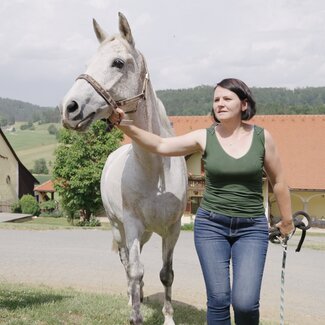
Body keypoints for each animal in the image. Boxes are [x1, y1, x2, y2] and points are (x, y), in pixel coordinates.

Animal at [60, 12, 187, 324]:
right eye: (88, 63)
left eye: (118, 62)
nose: (69, 108)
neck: (156, 170)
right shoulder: (131, 225)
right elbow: (134, 270)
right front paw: (135, 314)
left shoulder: (172, 229)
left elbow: (166, 274)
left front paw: (168, 317)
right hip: (120, 230)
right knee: (127, 264)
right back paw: (132, 300)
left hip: (146, 233)